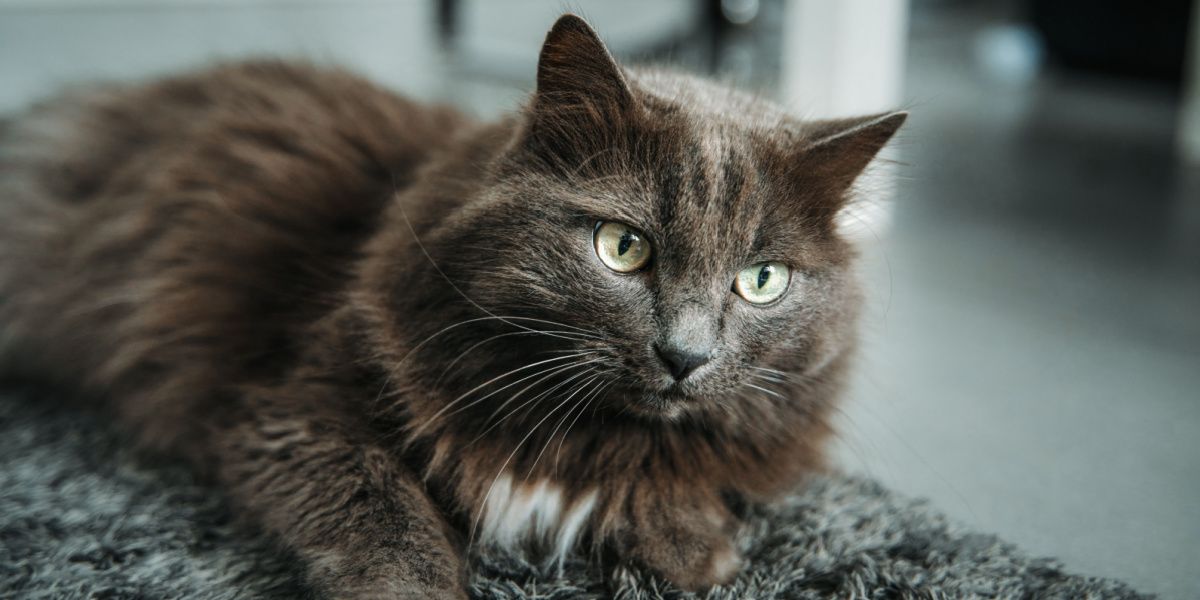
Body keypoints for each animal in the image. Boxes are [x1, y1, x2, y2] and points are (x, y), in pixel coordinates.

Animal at [0, 14, 902, 600]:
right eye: (622, 247)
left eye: (762, 280)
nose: (685, 356)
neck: (577, 437)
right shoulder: (293, 409)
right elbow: (385, 512)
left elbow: (680, 504)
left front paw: (698, 546)